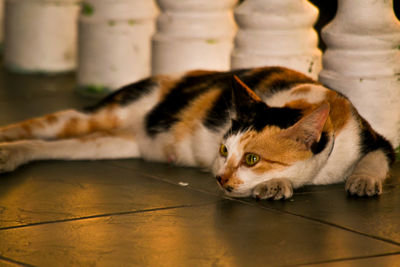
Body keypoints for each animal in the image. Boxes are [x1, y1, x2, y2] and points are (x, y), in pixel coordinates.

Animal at [0, 68, 394, 200]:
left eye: (252, 159)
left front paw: (362, 181)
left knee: (47, 145)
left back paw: (11, 155)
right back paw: (6, 147)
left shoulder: (377, 139)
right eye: (223, 150)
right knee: (33, 126)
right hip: (94, 116)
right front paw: (277, 185)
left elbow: (375, 159)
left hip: (106, 144)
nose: (219, 178)